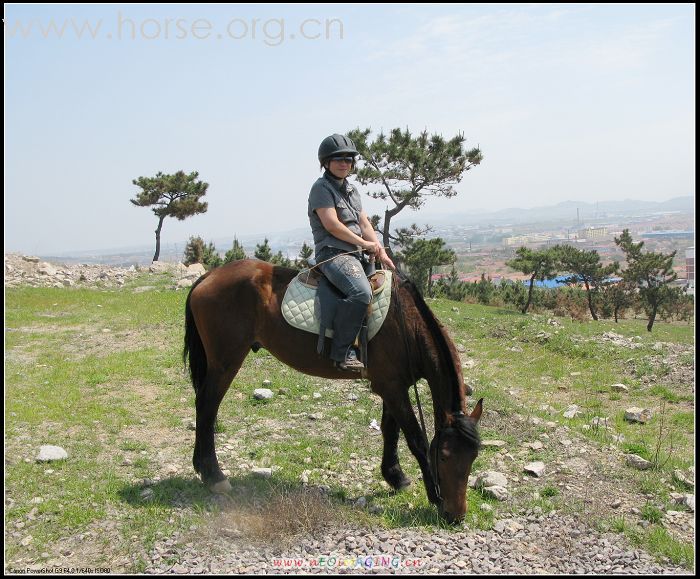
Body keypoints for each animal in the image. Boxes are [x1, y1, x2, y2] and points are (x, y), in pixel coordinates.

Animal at [183, 260, 484, 524]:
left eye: (473, 457)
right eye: (444, 456)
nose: (456, 515)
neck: (405, 325)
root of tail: (209, 276)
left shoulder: (394, 385)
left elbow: (390, 432)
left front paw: (395, 477)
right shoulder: (392, 388)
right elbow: (415, 439)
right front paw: (431, 494)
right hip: (225, 362)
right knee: (207, 407)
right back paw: (214, 475)